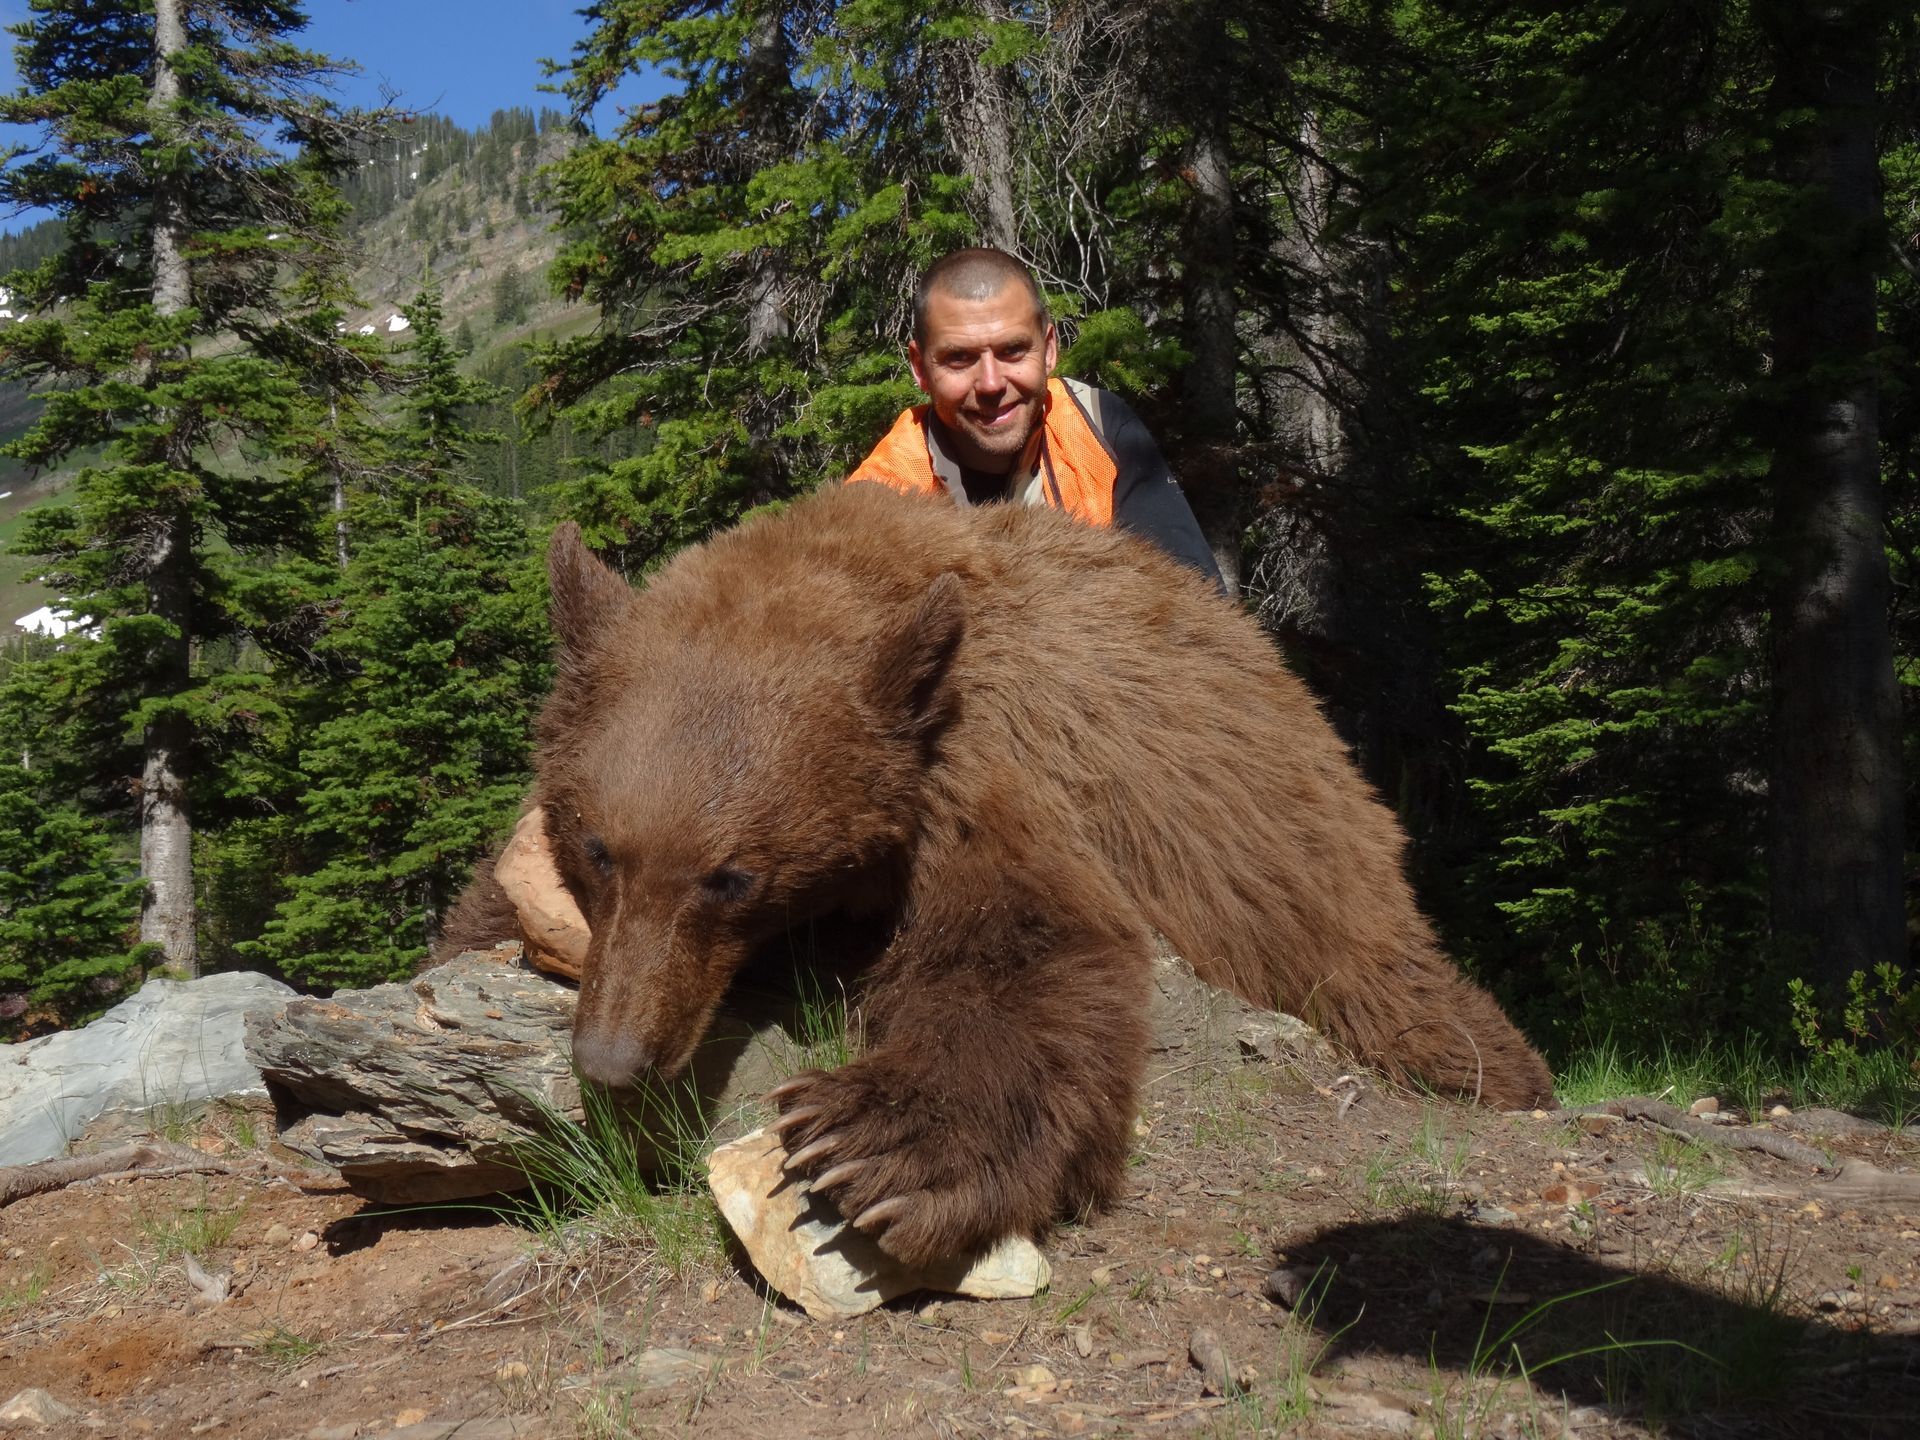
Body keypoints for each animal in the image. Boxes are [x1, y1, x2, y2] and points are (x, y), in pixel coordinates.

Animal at [443, 482, 1554, 1268]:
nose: (613, 1058)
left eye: (732, 877)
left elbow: (1026, 946)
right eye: (600, 848)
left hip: (1309, 875)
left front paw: (873, 1144)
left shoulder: (988, 769)